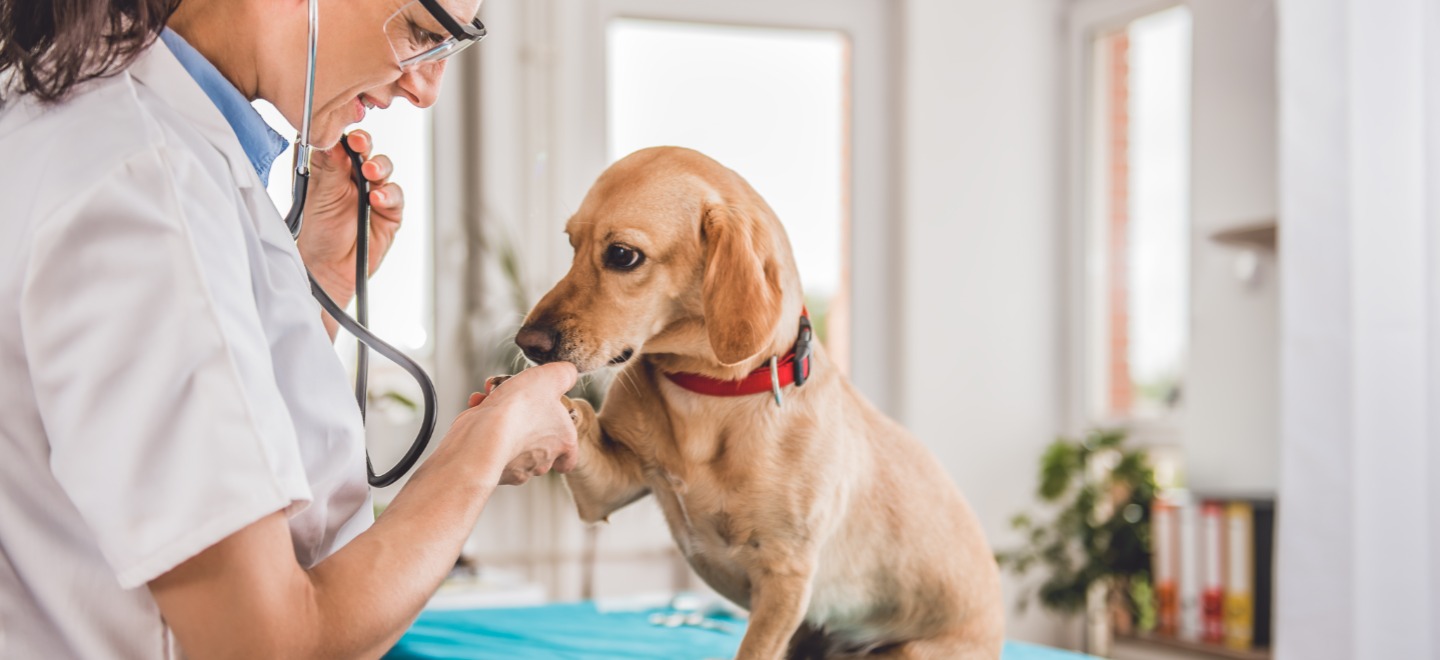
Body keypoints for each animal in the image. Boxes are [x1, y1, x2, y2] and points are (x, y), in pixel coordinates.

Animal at [515, 146, 1002, 657]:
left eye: (622, 255)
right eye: (572, 244)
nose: (527, 343)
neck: (706, 393)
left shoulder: (784, 579)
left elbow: (754, 648)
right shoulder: (608, 490)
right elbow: (584, 420)